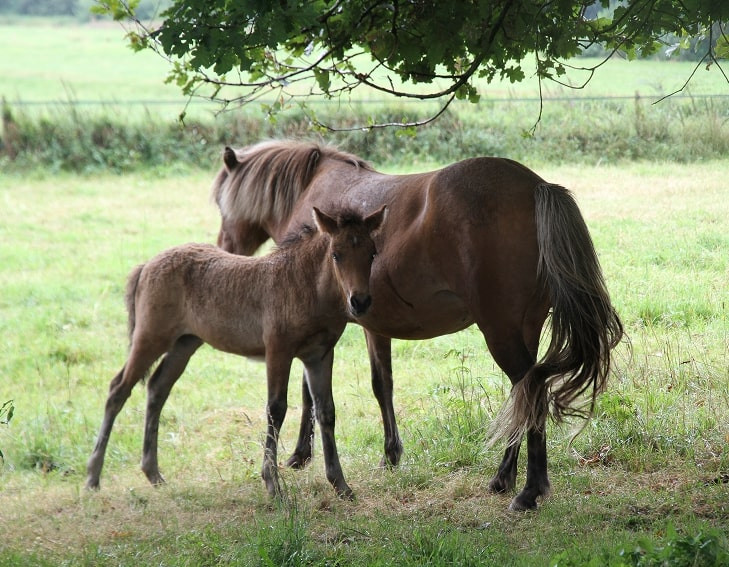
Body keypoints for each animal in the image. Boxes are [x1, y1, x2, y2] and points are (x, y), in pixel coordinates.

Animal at [86, 205, 387, 498]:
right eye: (337, 255)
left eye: (372, 253)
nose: (360, 302)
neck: (304, 284)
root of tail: (146, 265)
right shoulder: (278, 350)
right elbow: (276, 409)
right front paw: (272, 485)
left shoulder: (319, 355)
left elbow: (326, 410)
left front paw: (341, 485)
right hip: (150, 337)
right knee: (118, 390)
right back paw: (93, 477)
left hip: (185, 343)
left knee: (157, 387)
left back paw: (153, 473)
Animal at [211, 140, 624, 511]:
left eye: (220, 202)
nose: (224, 247)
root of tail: (536, 186)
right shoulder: (367, 327)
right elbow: (380, 384)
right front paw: (389, 454)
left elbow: (314, 392)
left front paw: (302, 455)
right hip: (524, 328)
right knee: (522, 394)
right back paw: (502, 477)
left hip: (501, 332)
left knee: (530, 392)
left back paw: (528, 491)